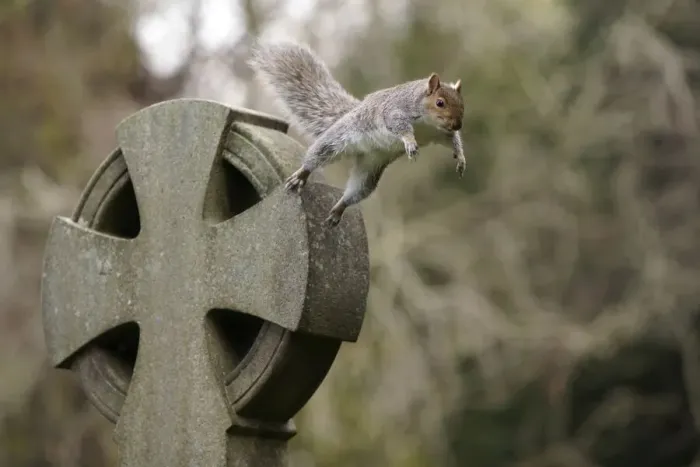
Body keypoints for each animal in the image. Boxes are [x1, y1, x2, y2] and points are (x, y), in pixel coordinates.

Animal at [248, 41, 466, 226]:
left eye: (463, 104)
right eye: (440, 103)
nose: (457, 125)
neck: (428, 124)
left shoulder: (440, 134)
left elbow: (453, 141)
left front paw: (461, 158)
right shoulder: (395, 112)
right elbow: (399, 126)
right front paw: (410, 142)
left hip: (369, 169)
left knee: (356, 192)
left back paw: (339, 209)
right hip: (336, 140)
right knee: (316, 156)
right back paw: (302, 174)